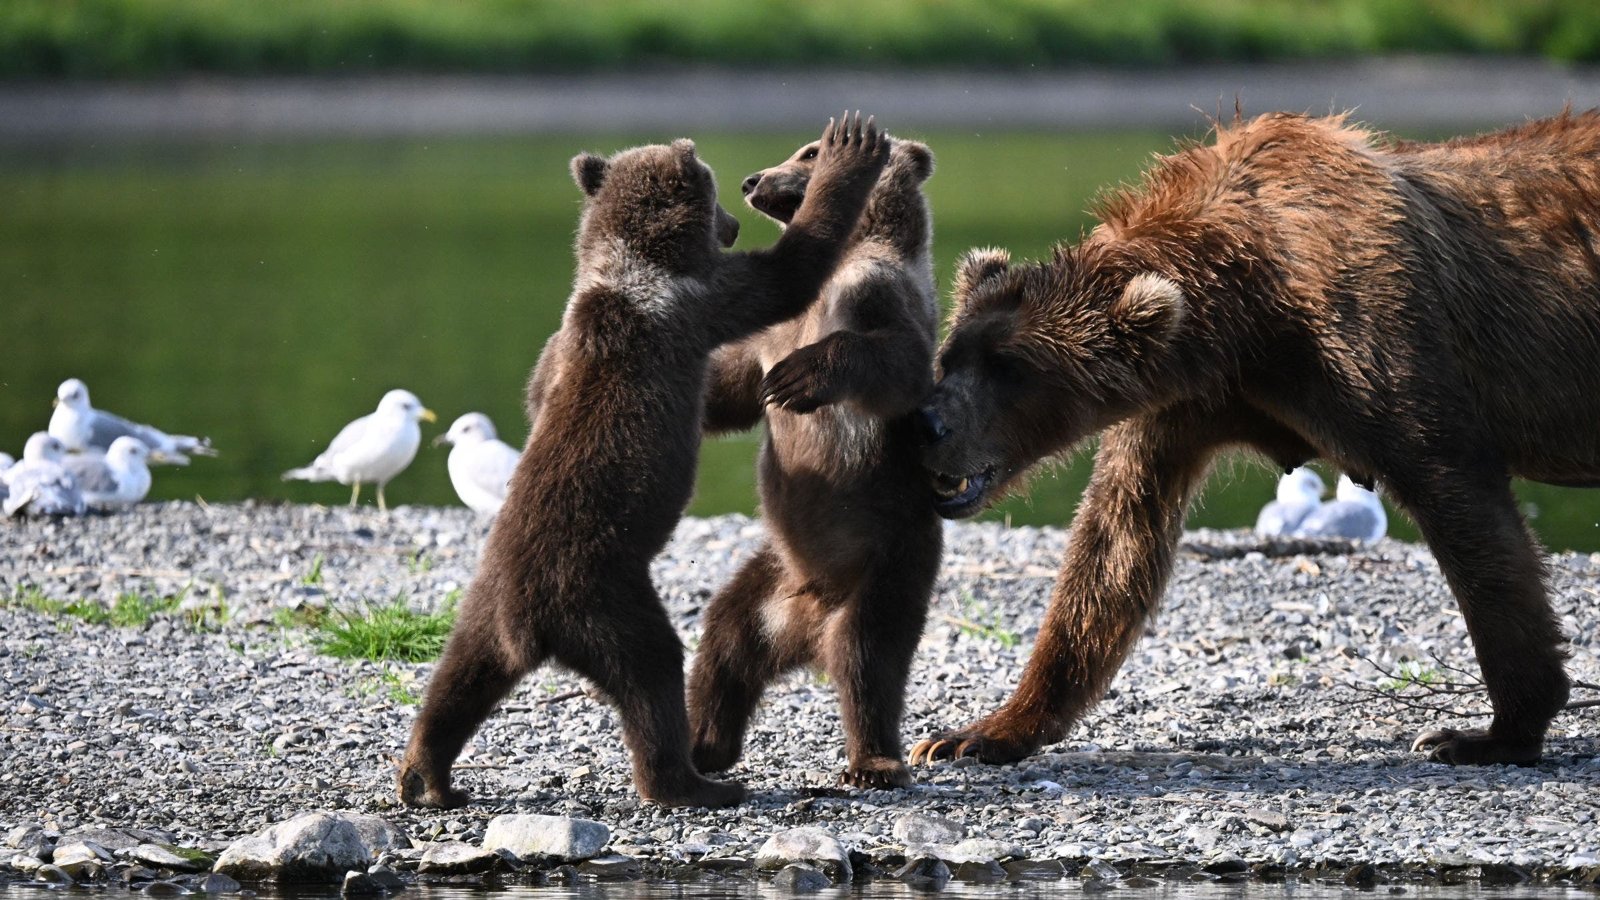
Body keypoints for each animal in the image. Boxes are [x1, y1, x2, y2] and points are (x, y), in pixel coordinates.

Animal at [398, 112, 889, 809]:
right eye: (714, 194)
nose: (732, 221)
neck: (632, 268)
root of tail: (531, 621)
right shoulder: (701, 303)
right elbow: (787, 274)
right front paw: (851, 153)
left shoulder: (567, 340)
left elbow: (538, 386)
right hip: (607, 597)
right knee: (653, 671)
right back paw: (694, 781)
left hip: (485, 606)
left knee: (458, 678)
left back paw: (425, 776)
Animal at [688, 135, 942, 788]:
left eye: (807, 152)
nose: (752, 180)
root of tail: (807, 628)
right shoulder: (769, 331)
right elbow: (729, 388)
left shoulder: (876, 289)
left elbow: (894, 357)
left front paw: (800, 378)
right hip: (772, 575)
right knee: (725, 640)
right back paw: (707, 744)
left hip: (889, 559)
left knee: (868, 656)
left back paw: (875, 759)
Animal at [907, 109, 1600, 770]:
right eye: (950, 356)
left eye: (1009, 369)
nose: (927, 424)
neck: (1242, 310)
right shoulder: (1185, 404)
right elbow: (1115, 546)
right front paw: (974, 734)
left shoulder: (1376, 332)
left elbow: (1461, 500)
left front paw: (1488, 732)